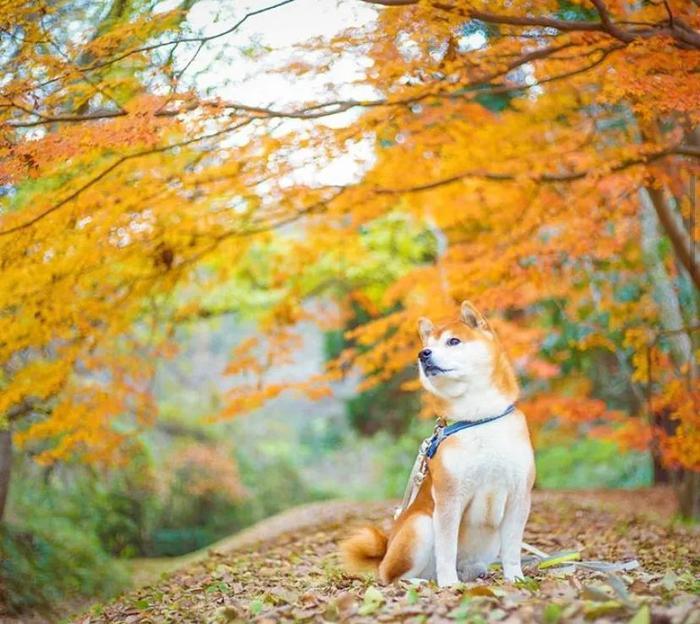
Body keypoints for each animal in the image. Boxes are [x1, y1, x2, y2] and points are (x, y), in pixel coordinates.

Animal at [342, 302, 532, 584]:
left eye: (453, 341)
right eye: (427, 345)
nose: (423, 354)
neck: (477, 419)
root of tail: (384, 553)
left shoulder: (519, 496)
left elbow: (512, 547)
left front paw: (515, 577)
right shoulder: (448, 498)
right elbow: (447, 548)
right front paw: (449, 584)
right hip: (420, 525)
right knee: (395, 577)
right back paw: (423, 581)